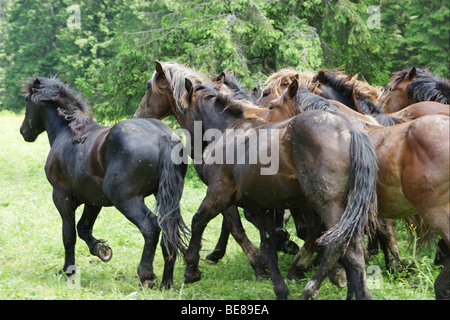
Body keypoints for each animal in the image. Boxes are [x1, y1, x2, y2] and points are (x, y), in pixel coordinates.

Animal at [18, 76, 188, 288]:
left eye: (26, 100)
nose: (23, 131)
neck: (68, 132)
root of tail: (164, 137)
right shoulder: (93, 200)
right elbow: (83, 228)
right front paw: (101, 249)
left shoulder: (62, 198)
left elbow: (69, 235)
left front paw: (69, 270)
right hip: (167, 198)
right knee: (168, 230)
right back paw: (166, 282)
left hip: (126, 200)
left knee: (151, 228)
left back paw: (146, 274)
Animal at [134, 60, 380, 300]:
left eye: (148, 87)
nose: (137, 117)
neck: (228, 130)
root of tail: (352, 131)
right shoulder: (261, 206)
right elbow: (268, 245)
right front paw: (279, 287)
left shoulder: (219, 194)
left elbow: (201, 222)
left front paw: (192, 268)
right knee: (352, 250)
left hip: (327, 204)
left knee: (337, 246)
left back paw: (310, 288)